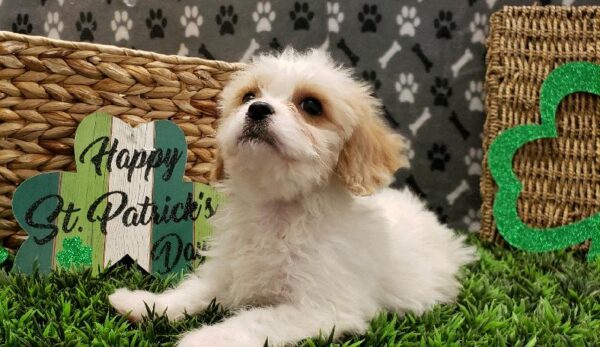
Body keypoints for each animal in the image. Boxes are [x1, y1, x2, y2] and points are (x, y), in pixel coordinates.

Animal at [109, 49, 478, 347]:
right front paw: (146, 303)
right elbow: (195, 289)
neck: (278, 209)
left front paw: (204, 339)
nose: (257, 109)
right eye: (248, 95)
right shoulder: (228, 270)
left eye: (311, 105)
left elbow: (254, 320)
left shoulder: (320, 307)